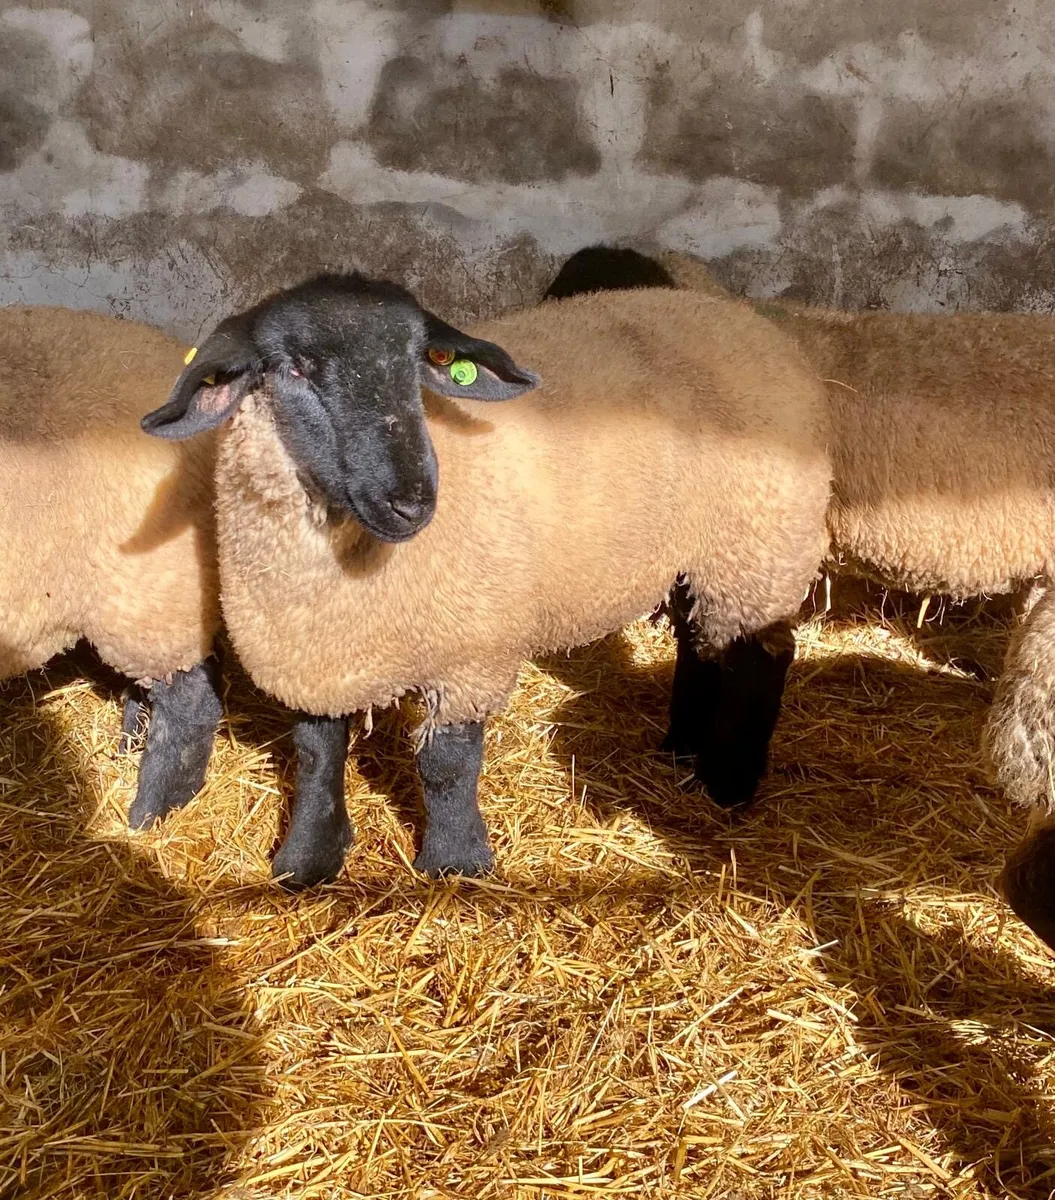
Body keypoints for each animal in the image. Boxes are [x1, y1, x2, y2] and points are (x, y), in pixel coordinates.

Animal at [140, 271, 833, 887]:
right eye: (295, 370)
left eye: (420, 360)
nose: (412, 501)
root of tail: (746, 321)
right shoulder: (315, 654)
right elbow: (316, 754)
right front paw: (309, 860)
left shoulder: (471, 650)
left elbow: (448, 764)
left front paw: (456, 864)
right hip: (707, 555)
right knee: (702, 642)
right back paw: (681, 749)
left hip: (760, 545)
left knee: (764, 655)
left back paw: (728, 783)